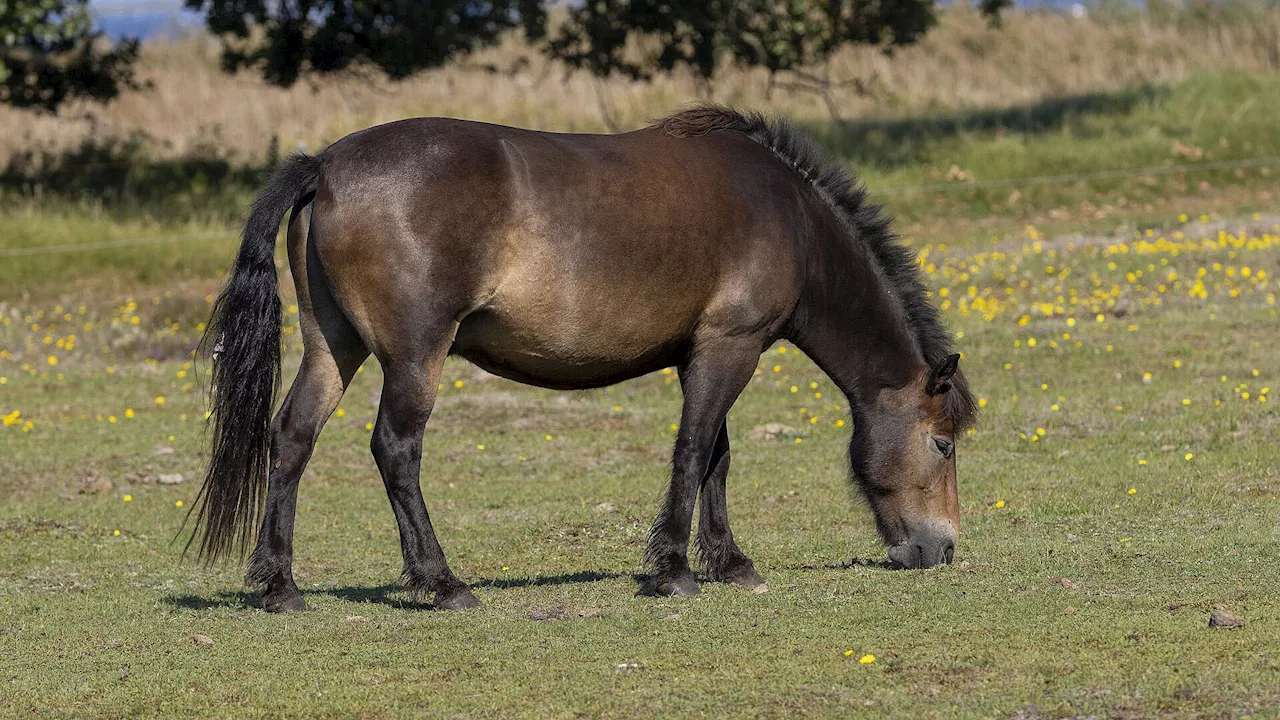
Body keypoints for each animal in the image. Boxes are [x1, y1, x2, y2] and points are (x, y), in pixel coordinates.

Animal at [192, 107, 977, 609]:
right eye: (941, 444)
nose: (941, 550)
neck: (791, 218)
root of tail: (324, 165)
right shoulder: (731, 347)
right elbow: (694, 452)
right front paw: (674, 571)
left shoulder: (707, 350)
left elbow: (718, 458)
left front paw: (731, 563)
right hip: (415, 358)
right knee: (396, 449)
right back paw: (442, 583)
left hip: (335, 346)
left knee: (293, 437)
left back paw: (280, 587)